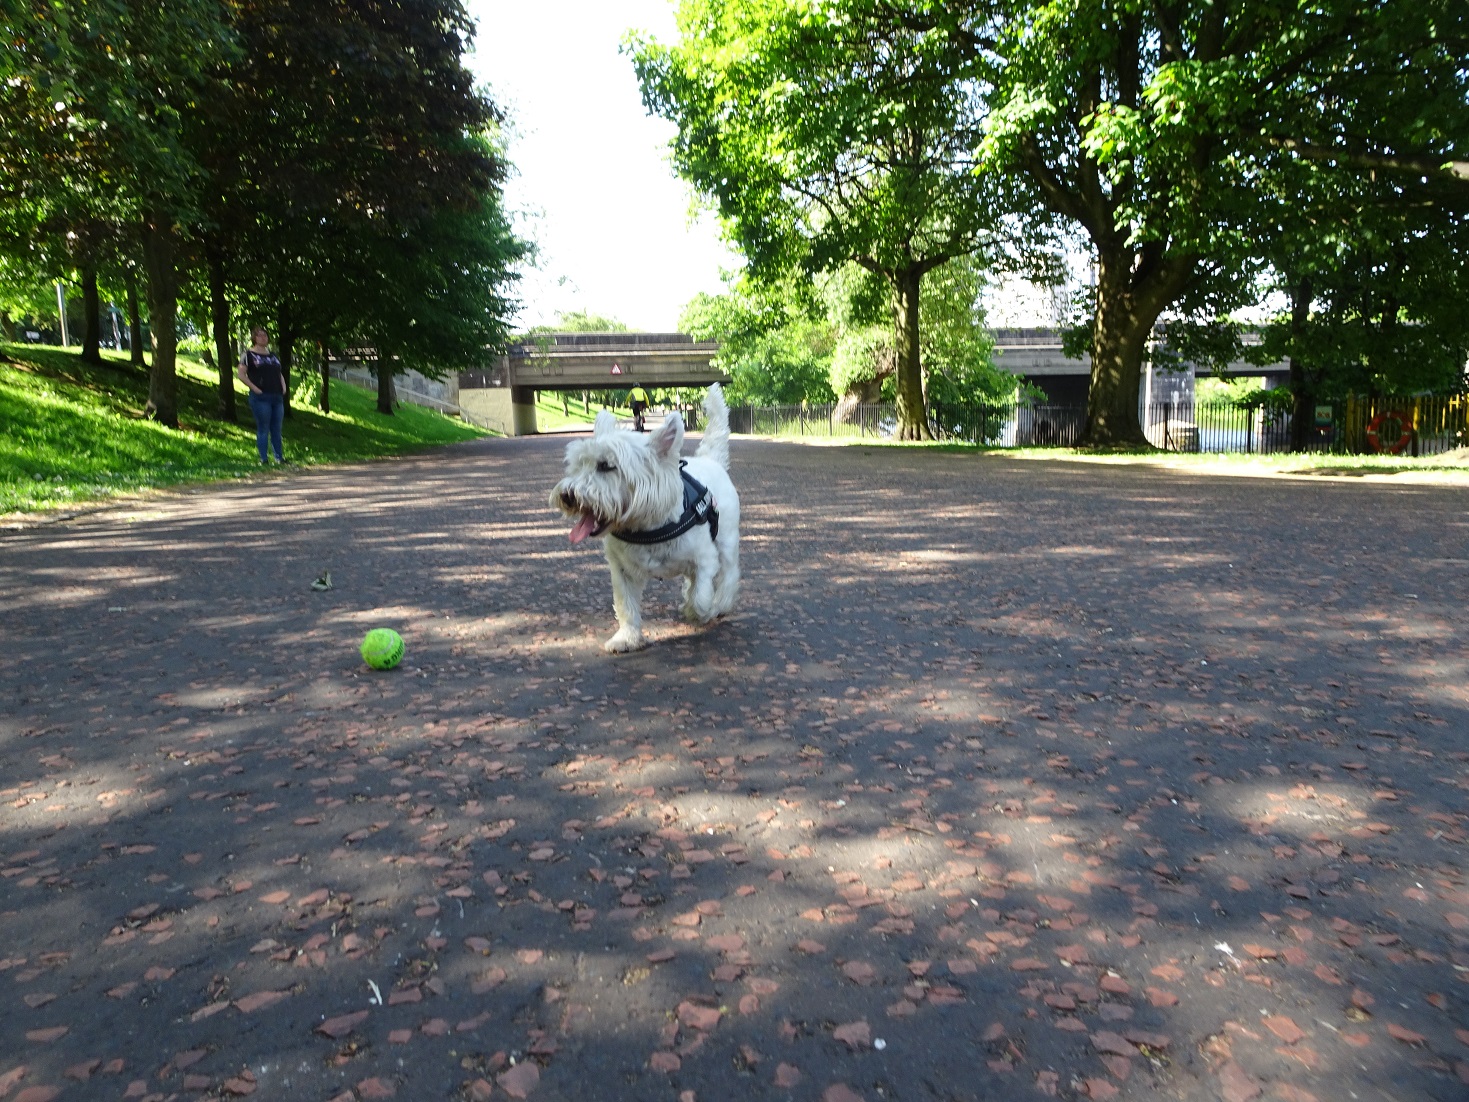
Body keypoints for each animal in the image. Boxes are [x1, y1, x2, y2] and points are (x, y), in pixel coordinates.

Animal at [552, 384, 740, 652]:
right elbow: (626, 606)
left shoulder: (705, 558)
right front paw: (627, 638)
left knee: (728, 574)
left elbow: (701, 596)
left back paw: (720, 604)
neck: (646, 528)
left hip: (726, 541)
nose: (567, 495)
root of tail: (709, 459)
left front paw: (700, 612)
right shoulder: (622, 571)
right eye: (578, 465)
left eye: (606, 465)